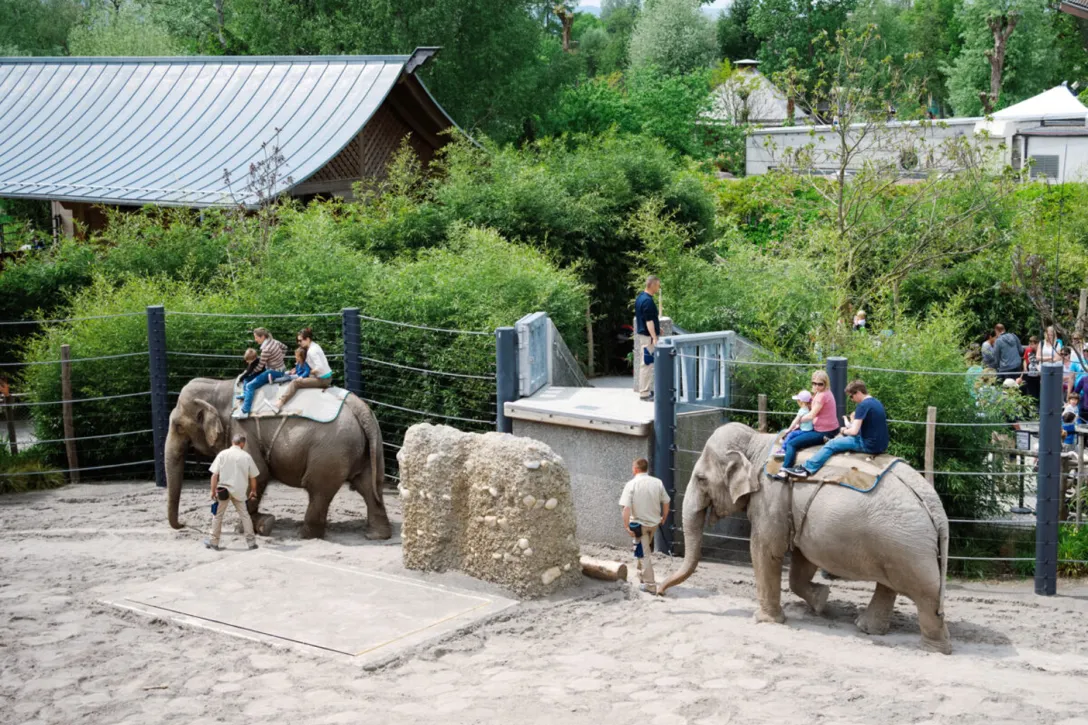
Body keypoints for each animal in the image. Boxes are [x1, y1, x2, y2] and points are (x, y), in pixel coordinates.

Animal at [166, 377, 391, 540]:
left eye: (178, 426)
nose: (183, 524)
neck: (220, 385)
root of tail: (360, 407)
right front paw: (262, 524)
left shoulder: (242, 430)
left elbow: (258, 473)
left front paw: (250, 526)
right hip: (367, 447)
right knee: (369, 486)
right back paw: (377, 535)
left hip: (330, 451)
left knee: (318, 490)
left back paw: (304, 535)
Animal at [658, 422, 951, 654]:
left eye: (700, 478)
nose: (659, 591)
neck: (758, 442)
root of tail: (936, 509)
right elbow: (802, 559)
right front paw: (821, 602)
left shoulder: (770, 498)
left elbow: (765, 551)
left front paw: (764, 620)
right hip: (896, 545)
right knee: (890, 585)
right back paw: (866, 628)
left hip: (907, 547)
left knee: (926, 595)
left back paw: (935, 649)